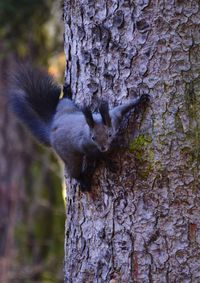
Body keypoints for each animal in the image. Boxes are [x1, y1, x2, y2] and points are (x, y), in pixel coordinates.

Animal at [8, 65, 149, 192]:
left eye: (109, 135)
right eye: (93, 138)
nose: (103, 148)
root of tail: (52, 127)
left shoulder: (114, 117)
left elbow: (123, 108)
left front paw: (140, 99)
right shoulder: (85, 145)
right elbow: (96, 155)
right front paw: (108, 161)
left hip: (66, 107)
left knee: (64, 101)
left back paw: (66, 93)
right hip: (70, 155)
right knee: (73, 171)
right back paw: (83, 181)